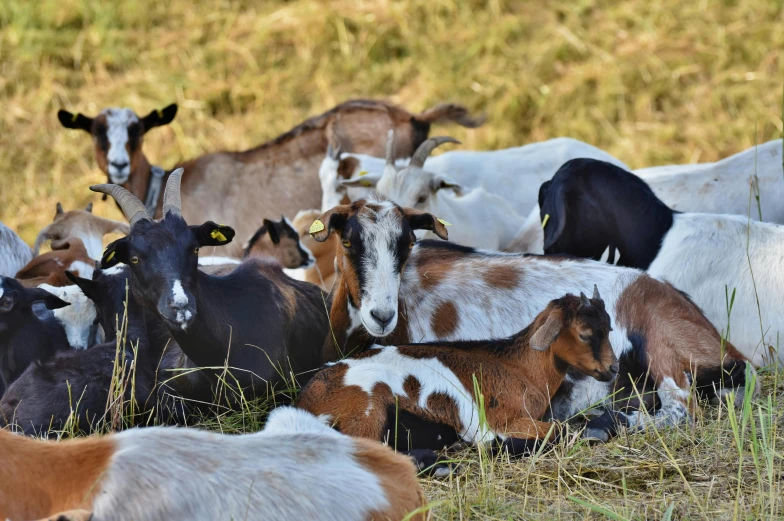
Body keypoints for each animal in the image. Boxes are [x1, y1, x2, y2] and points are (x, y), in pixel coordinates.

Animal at [298, 290, 620, 466]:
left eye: (609, 328)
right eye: (585, 333)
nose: (614, 368)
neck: (520, 367)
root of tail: (307, 400)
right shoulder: (498, 422)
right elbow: (559, 429)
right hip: (367, 408)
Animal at [306, 197, 752, 440]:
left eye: (407, 243)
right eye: (349, 242)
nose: (381, 314)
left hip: (661, 345)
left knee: (681, 409)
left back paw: (609, 420)